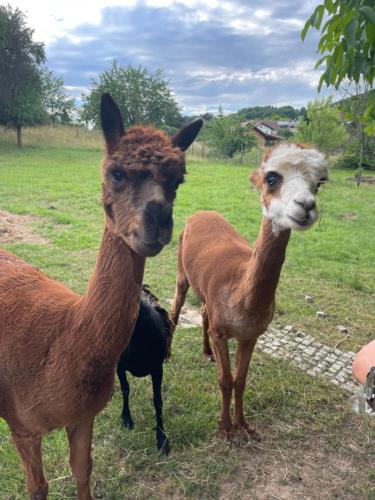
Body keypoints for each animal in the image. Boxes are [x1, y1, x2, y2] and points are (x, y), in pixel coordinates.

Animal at [117, 286, 173, 454]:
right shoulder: (119, 366)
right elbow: (125, 389)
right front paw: (126, 418)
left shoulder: (157, 368)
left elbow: (158, 401)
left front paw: (162, 439)